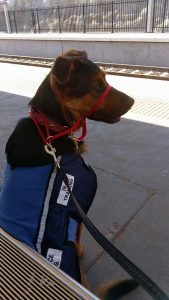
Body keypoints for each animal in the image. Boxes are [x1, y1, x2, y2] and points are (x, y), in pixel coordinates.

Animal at [0, 49, 136, 298]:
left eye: (105, 78)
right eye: (97, 86)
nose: (132, 102)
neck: (51, 129)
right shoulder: (78, 209)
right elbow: (79, 234)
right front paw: (81, 250)